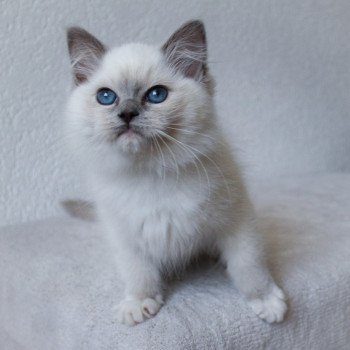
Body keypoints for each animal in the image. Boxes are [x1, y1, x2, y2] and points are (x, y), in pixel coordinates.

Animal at [65, 19, 288, 326]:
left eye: (156, 95)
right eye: (106, 97)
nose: (127, 113)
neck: (151, 172)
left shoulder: (238, 219)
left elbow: (249, 265)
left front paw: (266, 301)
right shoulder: (126, 236)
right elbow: (139, 273)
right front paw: (139, 304)